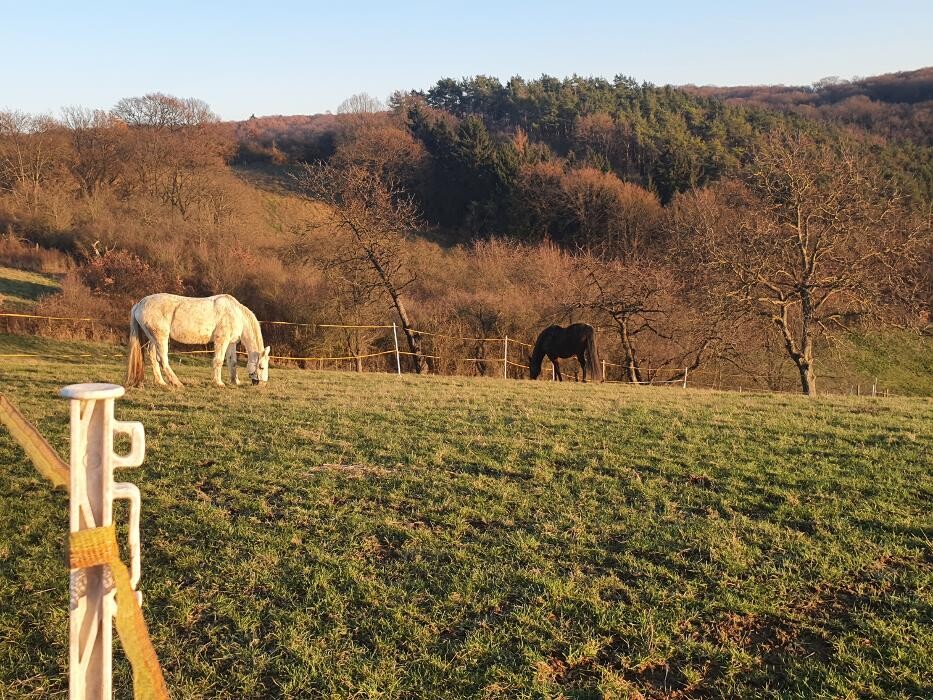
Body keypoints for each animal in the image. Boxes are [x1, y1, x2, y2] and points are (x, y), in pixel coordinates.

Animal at [125, 292, 270, 386]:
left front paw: (235, 381)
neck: (236, 313)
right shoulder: (221, 340)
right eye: (261, 367)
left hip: (153, 339)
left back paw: (161, 382)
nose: (261, 384)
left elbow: (232, 362)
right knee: (163, 359)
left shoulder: (231, 343)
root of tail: (139, 304)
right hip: (161, 338)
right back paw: (176, 383)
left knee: (152, 356)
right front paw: (218, 382)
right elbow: (219, 361)